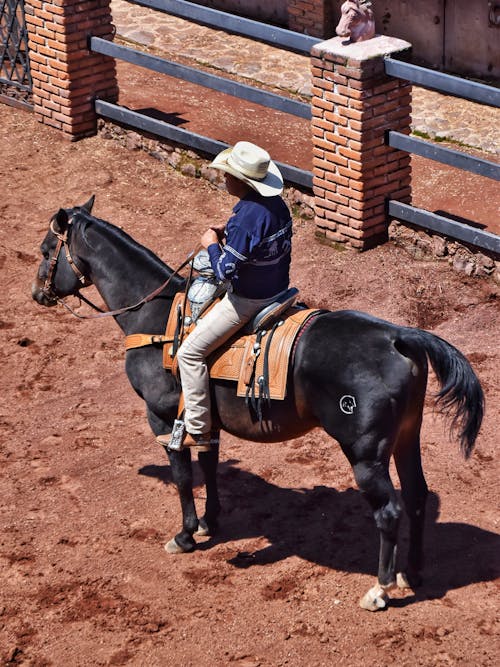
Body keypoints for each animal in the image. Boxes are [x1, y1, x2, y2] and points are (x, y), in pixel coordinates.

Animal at [32, 197, 484, 612]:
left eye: (45, 249)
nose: (37, 294)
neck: (156, 318)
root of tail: (398, 337)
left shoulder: (161, 416)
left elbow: (182, 475)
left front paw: (185, 534)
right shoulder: (205, 419)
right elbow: (209, 465)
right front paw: (210, 523)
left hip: (365, 455)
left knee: (389, 511)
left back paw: (380, 589)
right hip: (407, 437)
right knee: (418, 495)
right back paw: (413, 572)